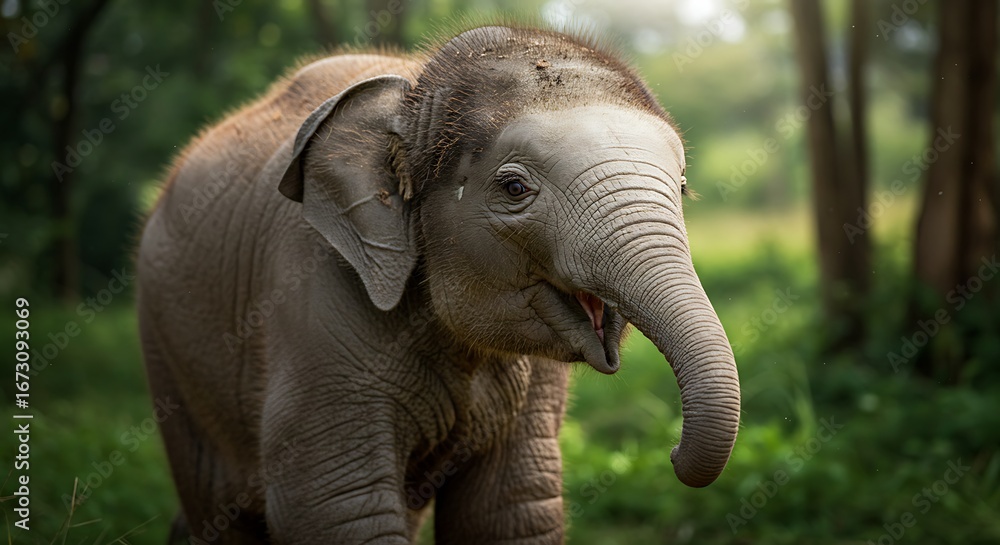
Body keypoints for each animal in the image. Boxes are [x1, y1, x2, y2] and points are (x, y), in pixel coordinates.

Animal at [137, 24, 741, 544]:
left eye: (681, 187)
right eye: (514, 187)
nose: (669, 453)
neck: (413, 97)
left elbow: (509, 512)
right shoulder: (312, 294)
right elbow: (337, 507)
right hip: (168, 353)